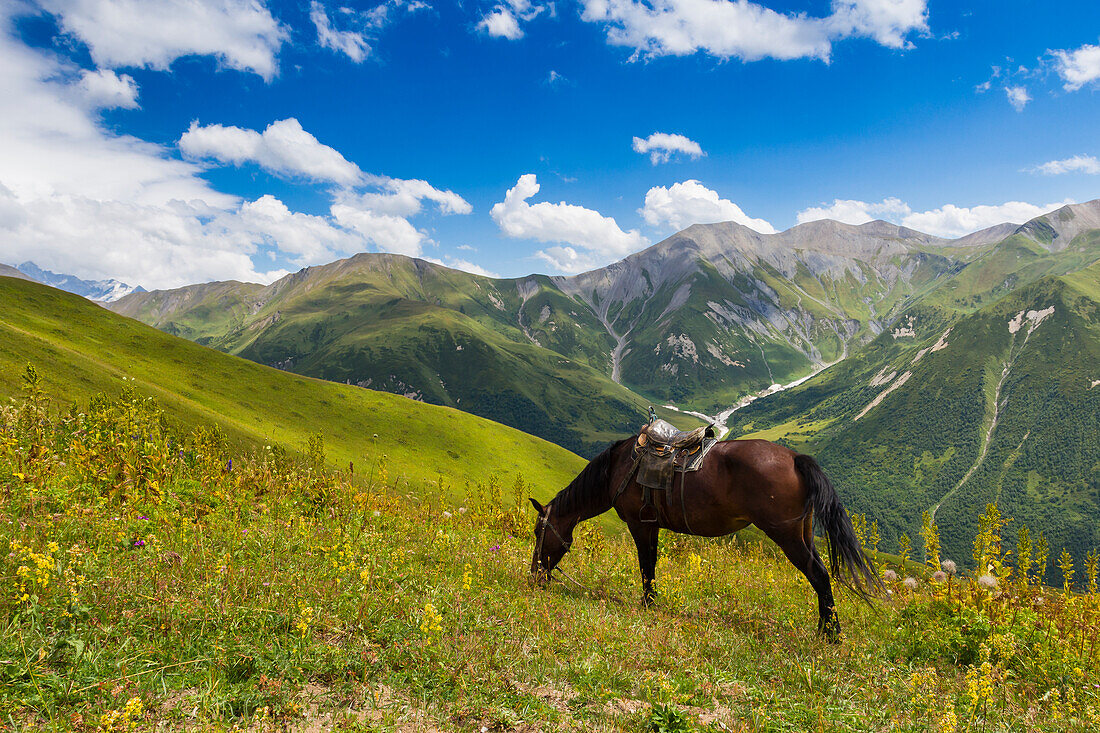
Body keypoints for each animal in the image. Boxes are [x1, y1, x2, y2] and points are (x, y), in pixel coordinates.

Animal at [528, 433, 880, 638]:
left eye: (537, 531)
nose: (534, 577)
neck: (619, 467)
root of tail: (795, 459)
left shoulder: (640, 525)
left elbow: (646, 566)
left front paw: (647, 604)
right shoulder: (652, 526)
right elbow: (651, 565)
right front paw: (651, 602)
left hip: (788, 536)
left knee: (818, 575)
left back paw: (830, 634)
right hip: (802, 533)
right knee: (820, 576)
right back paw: (826, 628)